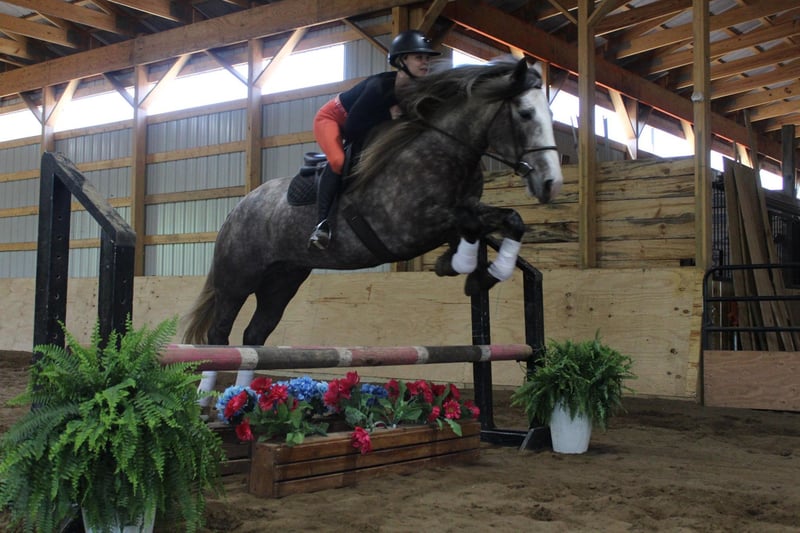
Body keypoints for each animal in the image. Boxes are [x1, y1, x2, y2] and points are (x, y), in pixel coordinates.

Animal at [183, 57, 563, 394]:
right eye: (526, 114)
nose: (550, 183)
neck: (445, 150)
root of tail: (238, 208)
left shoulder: (461, 213)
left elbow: (509, 220)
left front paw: (477, 271)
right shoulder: (408, 228)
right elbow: (468, 221)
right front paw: (464, 265)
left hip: (282, 281)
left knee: (255, 336)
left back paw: (241, 396)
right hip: (238, 279)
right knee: (219, 335)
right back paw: (205, 398)